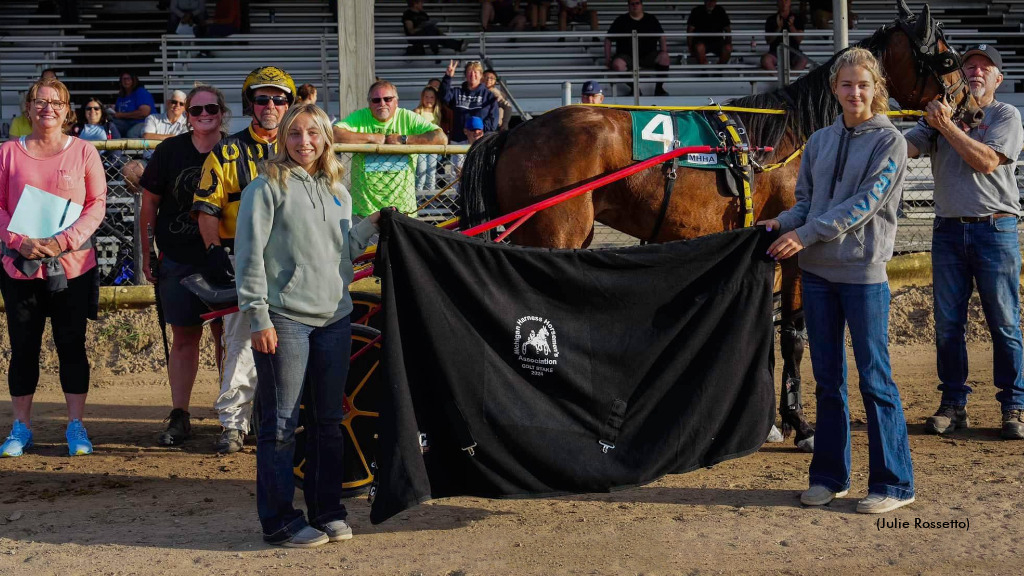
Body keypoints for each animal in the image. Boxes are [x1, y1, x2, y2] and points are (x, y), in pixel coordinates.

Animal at [460, 1, 978, 448]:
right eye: (948, 57)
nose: (971, 108)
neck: (789, 137)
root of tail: (515, 132)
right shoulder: (793, 249)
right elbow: (793, 335)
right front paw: (798, 424)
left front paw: (772, 421)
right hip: (554, 235)